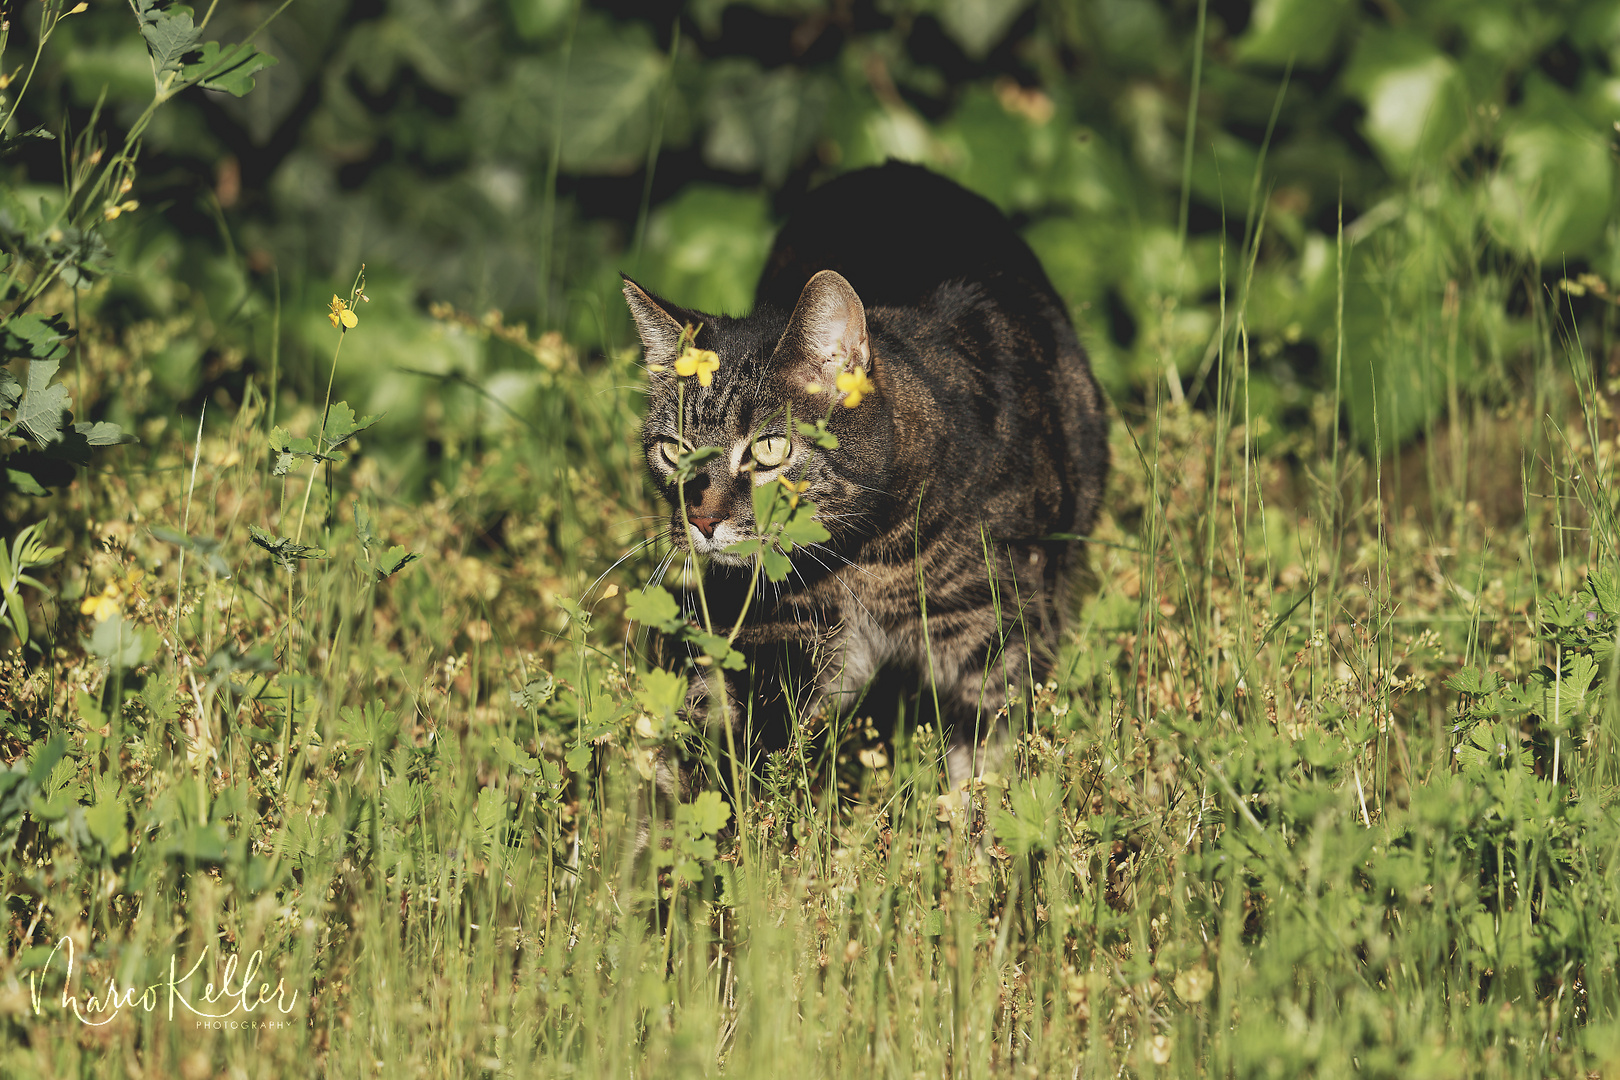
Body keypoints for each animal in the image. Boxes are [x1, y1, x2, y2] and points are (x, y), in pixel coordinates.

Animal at [625, 160, 1108, 786]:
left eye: (770, 449)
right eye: (673, 450)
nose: (702, 520)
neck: (870, 556)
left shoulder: (997, 633)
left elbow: (982, 762)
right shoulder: (783, 634)